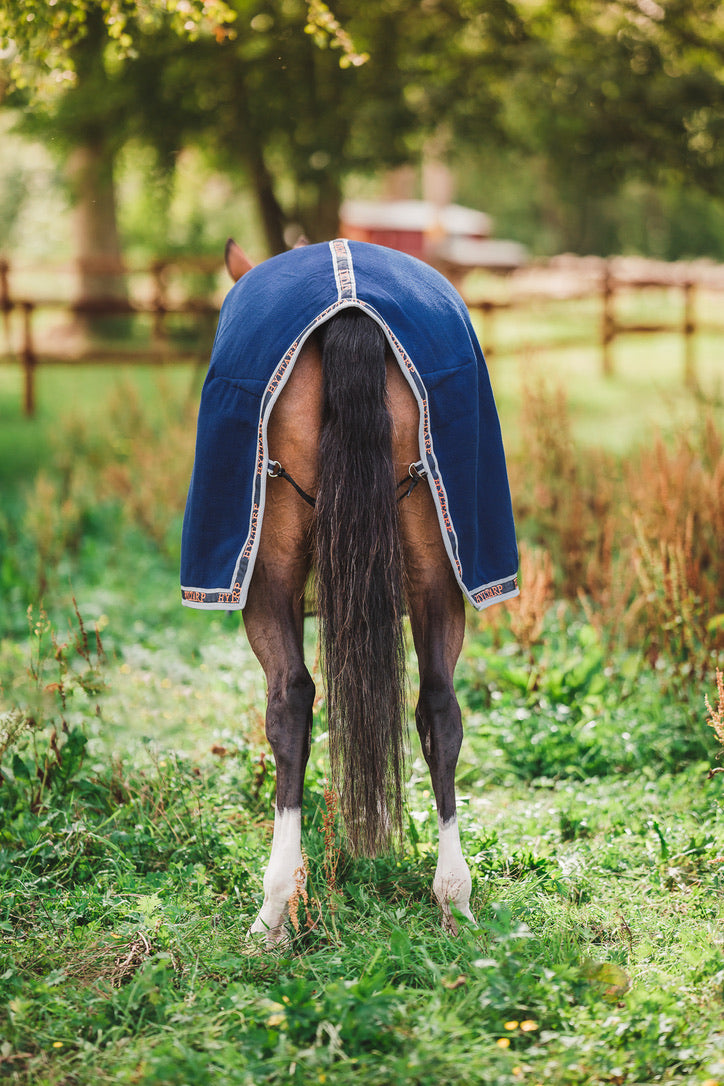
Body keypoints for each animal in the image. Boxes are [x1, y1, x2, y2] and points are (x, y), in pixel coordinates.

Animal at [182, 235, 521, 942]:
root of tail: (349, 306)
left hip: (267, 572)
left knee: (290, 703)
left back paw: (275, 908)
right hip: (440, 566)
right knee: (440, 707)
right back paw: (454, 896)